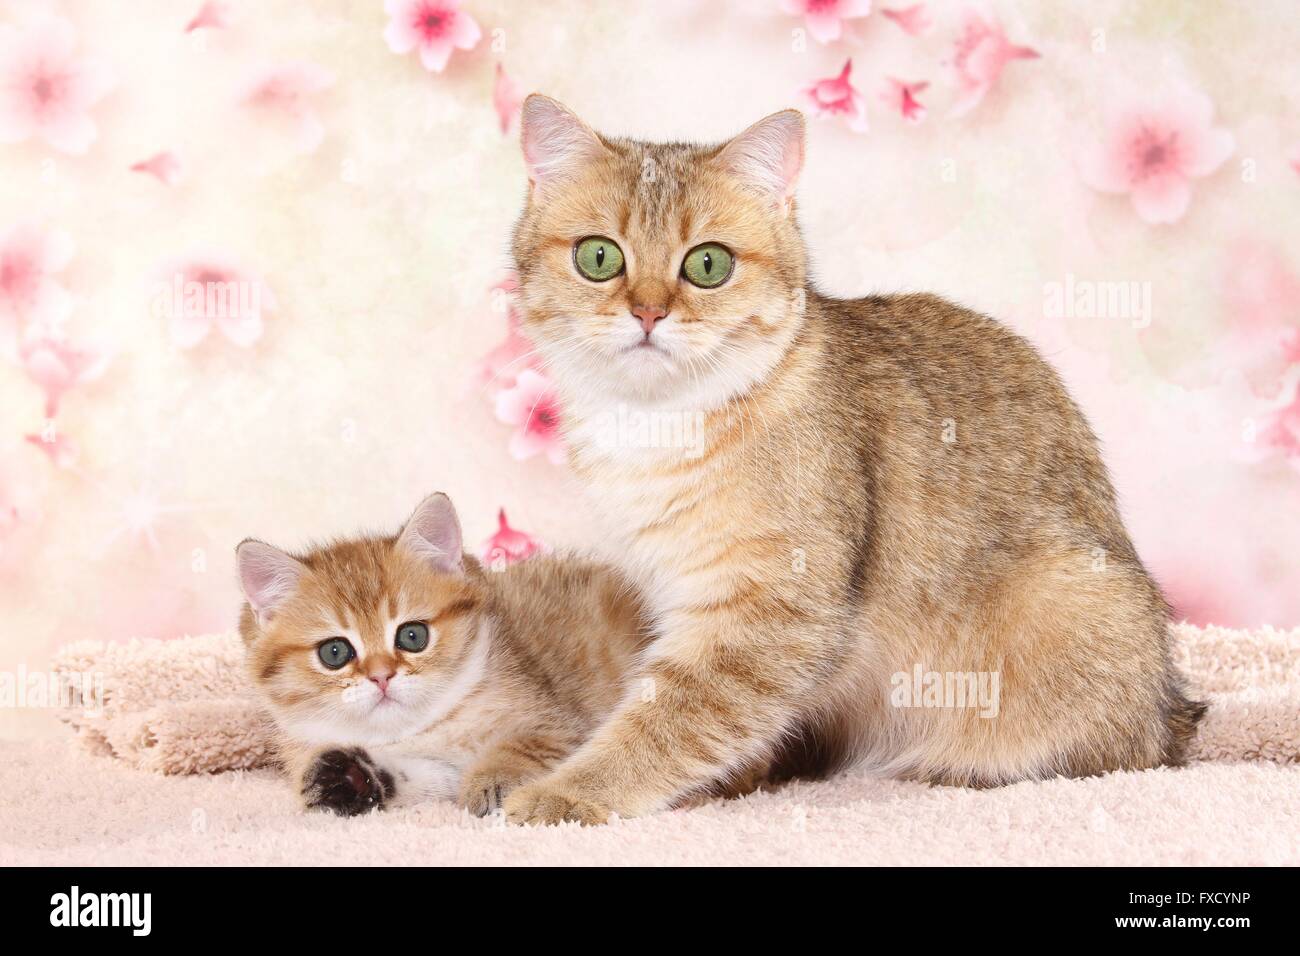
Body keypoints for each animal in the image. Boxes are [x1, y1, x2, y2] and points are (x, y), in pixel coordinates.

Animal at [235, 496, 650, 816]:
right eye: (334, 652)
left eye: (412, 635)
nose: (381, 675)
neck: (422, 731)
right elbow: (428, 778)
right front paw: (352, 780)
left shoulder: (559, 724)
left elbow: (526, 744)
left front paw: (495, 778)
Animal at [499, 97, 1206, 827]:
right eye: (598, 257)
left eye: (708, 266)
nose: (647, 312)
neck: (654, 423)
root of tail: (1170, 711)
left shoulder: (772, 612)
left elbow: (668, 719)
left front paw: (572, 790)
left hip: (1071, 604)